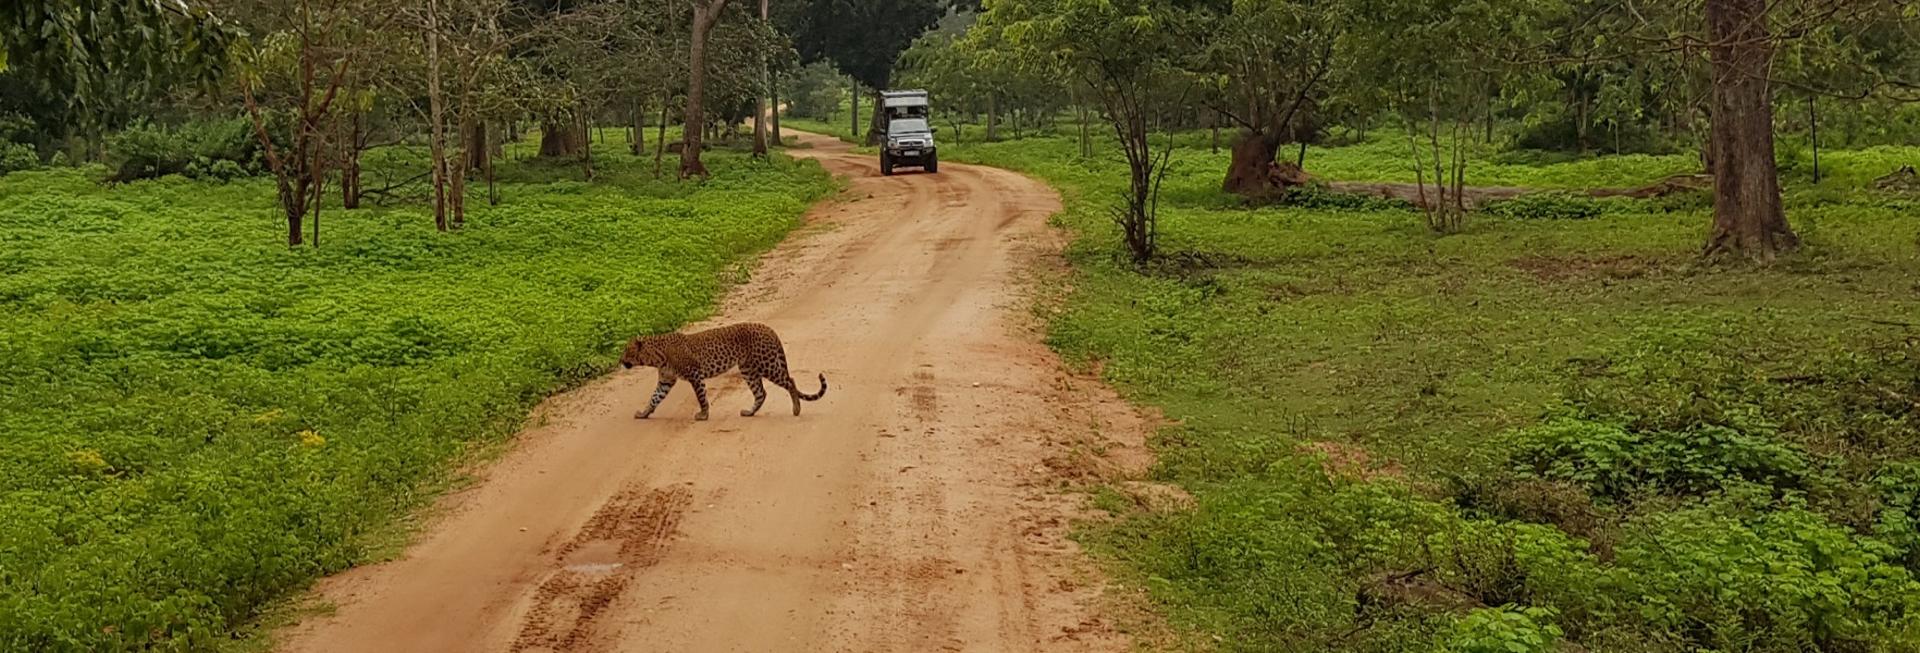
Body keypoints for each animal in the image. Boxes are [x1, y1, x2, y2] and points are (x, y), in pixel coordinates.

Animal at [620, 322, 828, 421]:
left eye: (626, 351)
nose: (620, 361)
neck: (655, 357)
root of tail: (767, 327)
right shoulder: (666, 380)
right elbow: (654, 398)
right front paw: (644, 413)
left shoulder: (695, 373)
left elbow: (701, 396)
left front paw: (703, 415)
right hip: (748, 369)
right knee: (761, 393)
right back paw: (749, 412)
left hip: (766, 363)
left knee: (790, 381)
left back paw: (796, 409)